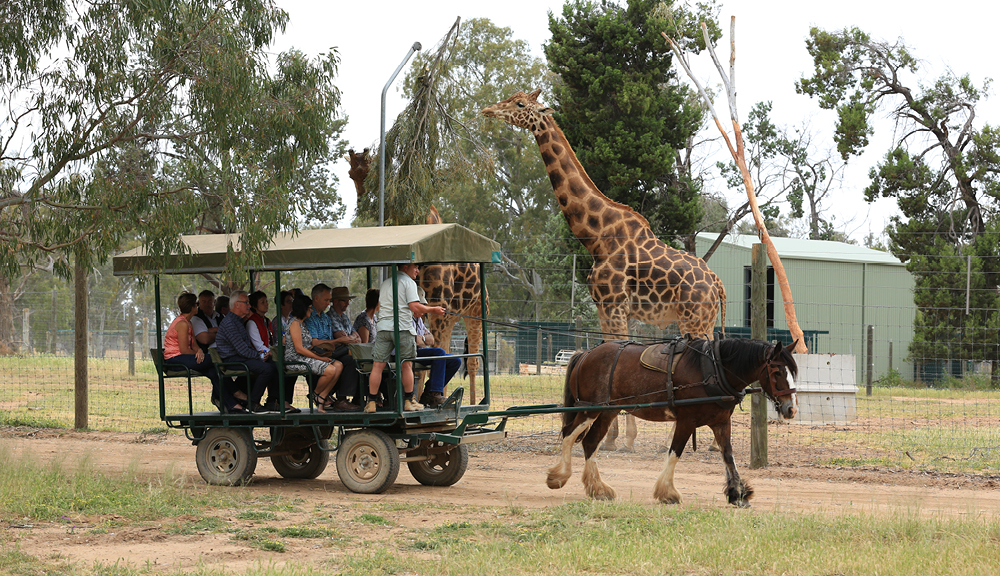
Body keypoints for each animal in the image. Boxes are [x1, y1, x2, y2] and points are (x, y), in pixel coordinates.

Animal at [346, 151, 490, 400]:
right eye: (350, 173)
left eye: (371, 168)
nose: (362, 201)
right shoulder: (426, 310)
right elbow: (421, 360)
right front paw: (419, 397)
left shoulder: (437, 308)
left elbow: (429, 361)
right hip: (450, 318)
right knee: (452, 352)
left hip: (476, 315)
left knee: (472, 363)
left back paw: (474, 401)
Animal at [484, 90, 728, 452]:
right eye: (511, 97)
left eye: (520, 105)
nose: (489, 110)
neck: (596, 236)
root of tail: (716, 281)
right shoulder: (606, 307)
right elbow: (611, 353)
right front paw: (616, 435)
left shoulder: (614, 304)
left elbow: (618, 354)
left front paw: (619, 439)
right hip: (703, 320)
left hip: (693, 318)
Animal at [548, 340, 796, 506]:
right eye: (776, 371)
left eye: (793, 370)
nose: (791, 409)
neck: (713, 370)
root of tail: (586, 353)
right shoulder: (686, 421)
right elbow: (675, 453)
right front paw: (667, 493)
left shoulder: (721, 423)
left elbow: (728, 456)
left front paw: (738, 494)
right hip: (589, 409)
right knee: (569, 435)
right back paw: (558, 477)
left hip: (607, 412)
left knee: (589, 443)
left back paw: (598, 489)